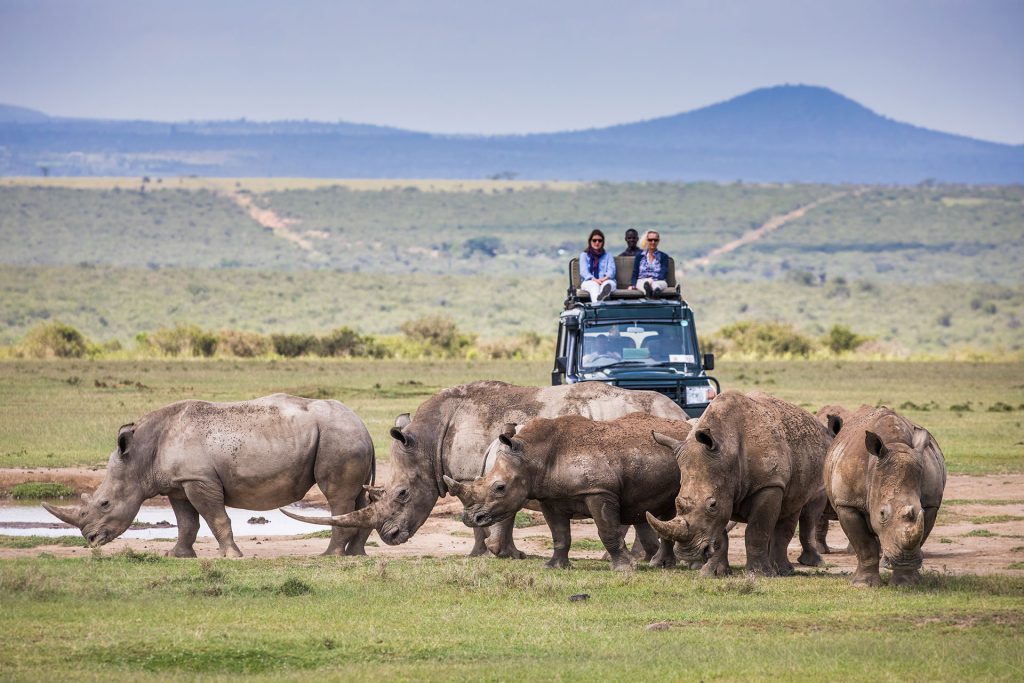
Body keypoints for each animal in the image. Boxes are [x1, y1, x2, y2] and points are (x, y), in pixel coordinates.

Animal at [44, 393, 374, 557]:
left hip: (338, 437)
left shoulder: (198, 480)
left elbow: (216, 518)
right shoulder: (178, 484)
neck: (140, 458)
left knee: (337, 497)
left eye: (105, 504)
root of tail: (363, 425)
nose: (90, 539)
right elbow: (186, 522)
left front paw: (231, 556)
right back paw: (355, 556)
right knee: (359, 499)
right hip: (344, 436)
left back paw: (329, 556)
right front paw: (177, 556)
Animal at [278, 382, 688, 557]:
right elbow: (492, 513)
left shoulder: (474, 473)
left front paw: (483, 554)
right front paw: (507, 554)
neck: (426, 442)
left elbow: (480, 515)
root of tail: (679, 411)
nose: (389, 536)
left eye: (402, 494)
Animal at [444, 411, 692, 573]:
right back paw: (662, 565)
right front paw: (554, 567)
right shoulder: (549, 498)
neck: (532, 455)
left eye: (500, 488)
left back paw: (660, 565)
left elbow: (607, 531)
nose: (470, 518)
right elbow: (560, 534)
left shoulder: (599, 491)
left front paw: (624, 569)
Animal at [647, 389, 831, 577]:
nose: (687, 554)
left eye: (712, 505)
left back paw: (782, 571)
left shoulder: (769, 484)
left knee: (791, 510)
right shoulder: (722, 489)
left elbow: (756, 531)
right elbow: (720, 534)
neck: (727, 451)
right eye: (677, 502)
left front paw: (759, 574)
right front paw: (714, 573)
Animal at [823, 405, 942, 589]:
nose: (905, 560)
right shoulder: (847, 504)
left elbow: (920, 534)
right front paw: (864, 585)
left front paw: (905, 583)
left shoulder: (931, 504)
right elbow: (865, 546)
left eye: (920, 509)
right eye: (882, 514)